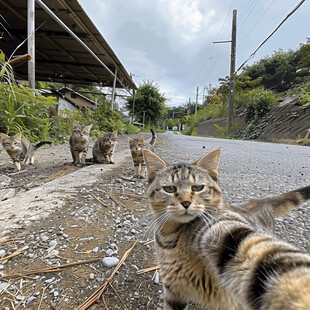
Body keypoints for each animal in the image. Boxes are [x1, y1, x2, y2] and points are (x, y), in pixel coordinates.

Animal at [143, 148, 310, 310]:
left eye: (197, 187)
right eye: (170, 188)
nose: (185, 203)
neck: (171, 236)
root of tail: (261, 201)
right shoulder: (174, 291)